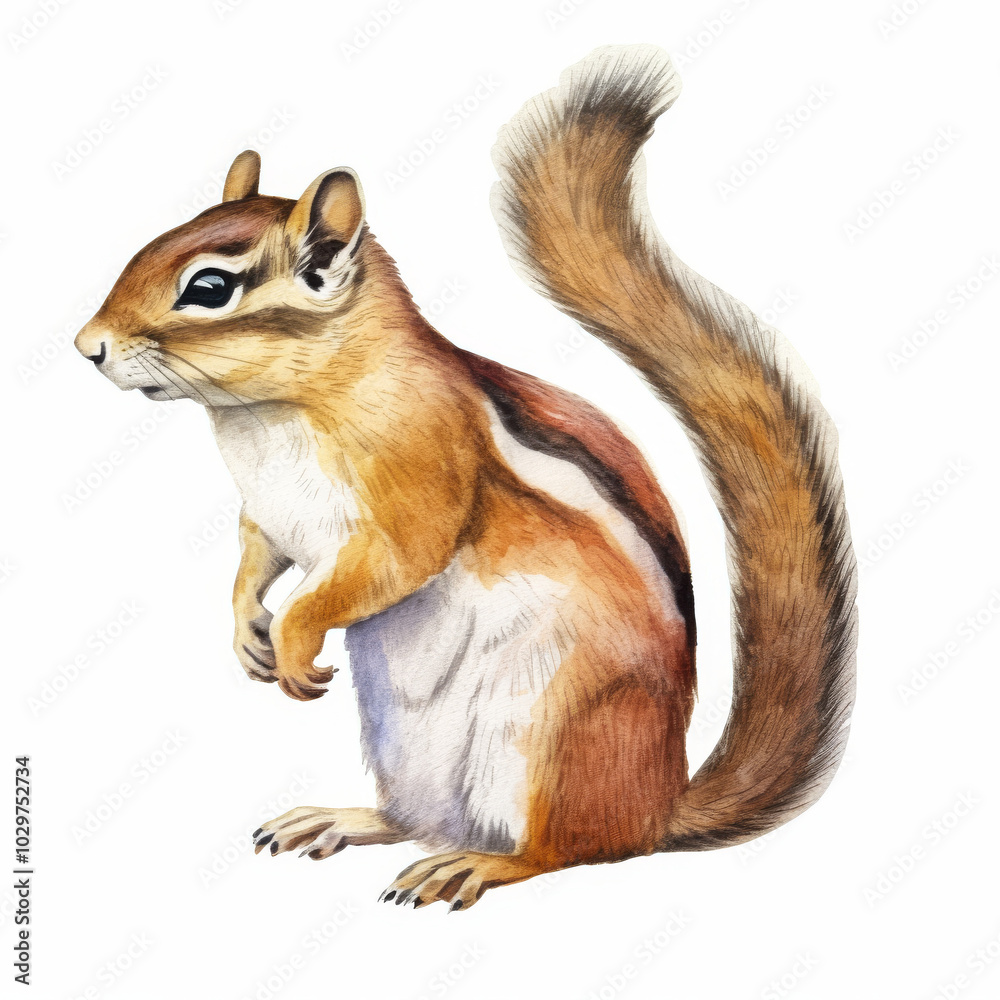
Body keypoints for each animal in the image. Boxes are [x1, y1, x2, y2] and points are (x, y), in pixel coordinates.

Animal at [74, 45, 857, 910]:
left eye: (208, 287)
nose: (86, 346)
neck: (267, 415)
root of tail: (658, 805)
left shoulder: (419, 472)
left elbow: (388, 563)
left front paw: (291, 639)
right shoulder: (269, 511)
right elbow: (257, 554)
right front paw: (249, 628)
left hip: (551, 735)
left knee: (565, 849)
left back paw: (478, 864)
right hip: (405, 745)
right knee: (415, 819)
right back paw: (345, 820)